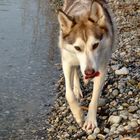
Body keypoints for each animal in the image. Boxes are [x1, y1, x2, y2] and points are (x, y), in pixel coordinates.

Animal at [57, 0, 115, 131]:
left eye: (95, 45)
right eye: (77, 48)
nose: (90, 72)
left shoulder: (101, 68)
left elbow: (94, 98)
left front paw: (90, 120)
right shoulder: (66, 62)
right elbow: (69, 94)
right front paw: (78, 115)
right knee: (75, 72)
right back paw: (78, 88)